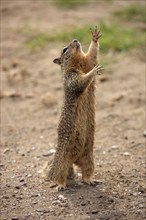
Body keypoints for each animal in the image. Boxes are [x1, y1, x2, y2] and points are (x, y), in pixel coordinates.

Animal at [42, 26, 103, 190]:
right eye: (64, 49)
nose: (75, 40)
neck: (78, 64)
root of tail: (74, 160)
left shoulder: (88, 62)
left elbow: (92, 56)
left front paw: (95, 37)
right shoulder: (72, 77)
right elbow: (81, 81)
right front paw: (94, 71)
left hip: (89, 158)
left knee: (86, 172)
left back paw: (90, 180)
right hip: (63, 162)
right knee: (59, 175)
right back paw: (60, 185)